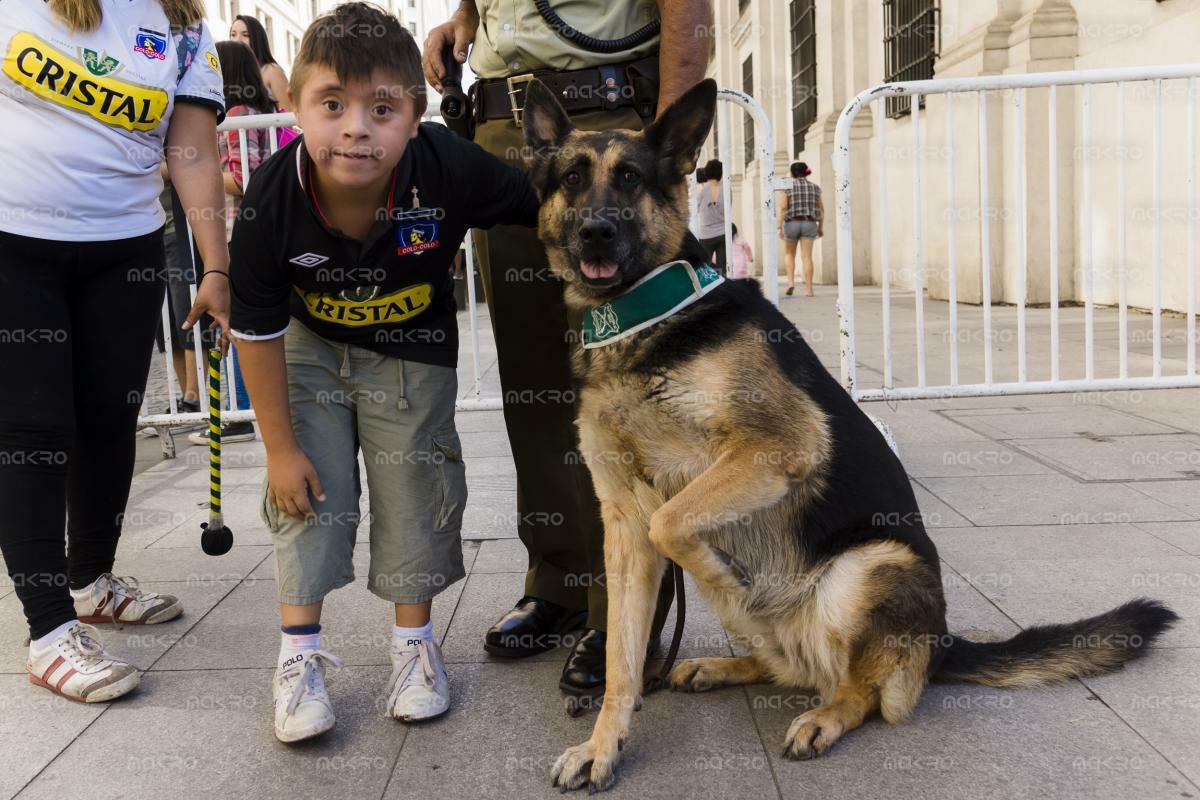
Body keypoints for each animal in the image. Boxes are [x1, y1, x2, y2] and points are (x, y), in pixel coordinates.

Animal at [518, 77, 1180, 791]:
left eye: (631, 178)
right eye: (573, 178)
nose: (597, 232)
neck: (644, 318)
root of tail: (941, 644)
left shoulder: (776, 449)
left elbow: (672, 521)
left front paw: (719, 566)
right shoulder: (621, 522)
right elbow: (621, 655)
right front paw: (603, 743)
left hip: (865, 567)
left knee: (861, 689)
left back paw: (823, 714)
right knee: (785, 663)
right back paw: (723, 666)